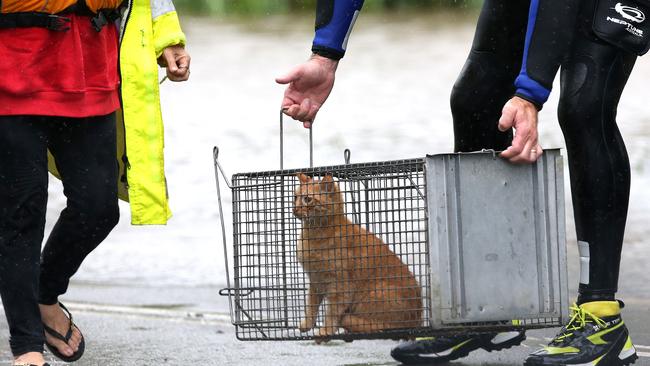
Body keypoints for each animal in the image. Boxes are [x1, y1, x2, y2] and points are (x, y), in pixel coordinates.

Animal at [292, 173, 420, 338]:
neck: (313, 235)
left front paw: (326, 331)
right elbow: (311, 306)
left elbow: (332, 312)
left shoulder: (340, 286)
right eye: (295, 197)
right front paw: (307, 324)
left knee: (382, 327)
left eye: (307, 199)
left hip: (378, 291)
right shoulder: (316, 281)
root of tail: (418, 321)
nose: (294, 209)